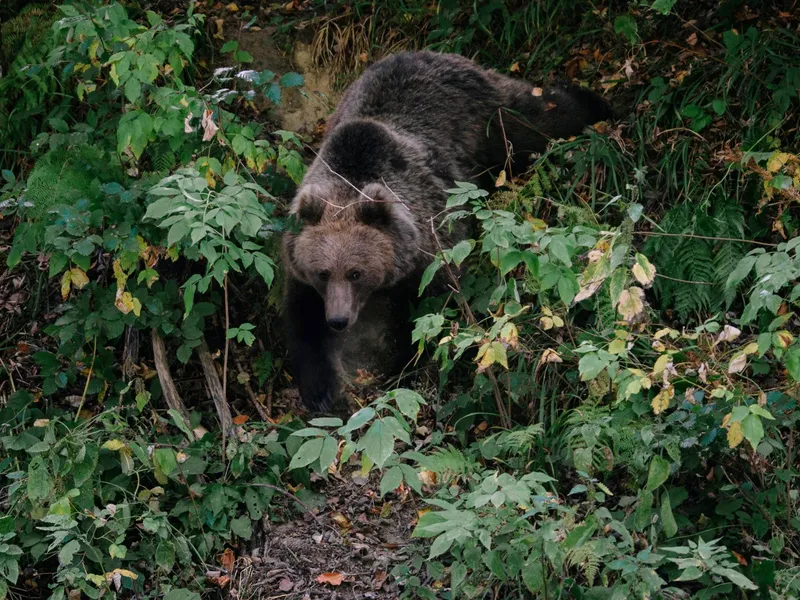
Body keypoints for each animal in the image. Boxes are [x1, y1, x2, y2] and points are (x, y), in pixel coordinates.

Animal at [282, 51, 612, 412]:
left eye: (356, 272)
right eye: (323, 273)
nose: (339, 319)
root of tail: (432, 53)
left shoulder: (432, 248)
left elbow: (428, 315)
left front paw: (402, 368)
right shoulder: (301, 266)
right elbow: (301, 321)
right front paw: (319, 392)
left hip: (486, 116)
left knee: (535, 119)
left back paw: (594, 103)